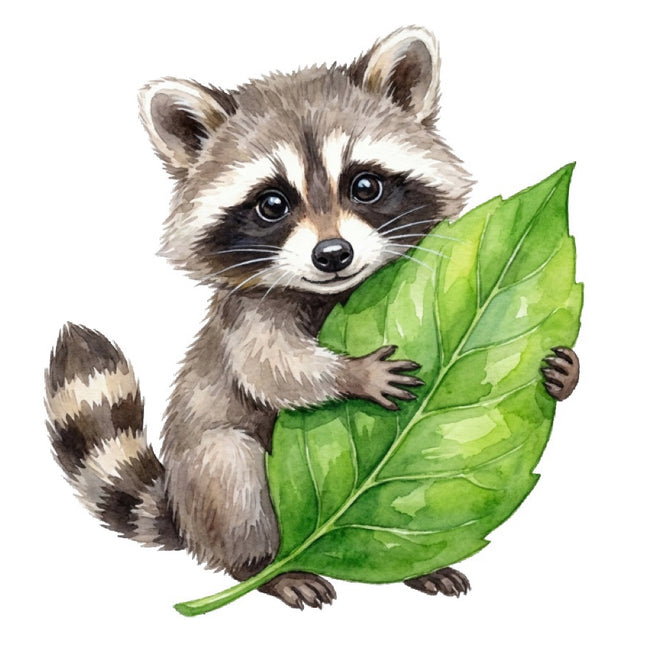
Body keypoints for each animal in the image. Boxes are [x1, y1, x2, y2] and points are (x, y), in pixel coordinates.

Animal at [45, 27, 579, 609]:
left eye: (365, 186)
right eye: (272, 204)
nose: (333, 255)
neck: (334, 293)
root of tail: (182, 513)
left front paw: (566, 374)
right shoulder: (246, 314)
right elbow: (270, 367)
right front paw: (351, 374)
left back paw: (423, 566)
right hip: (210, 482)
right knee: (231, 469)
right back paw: (264, 567)